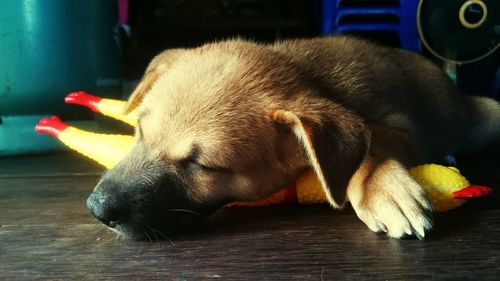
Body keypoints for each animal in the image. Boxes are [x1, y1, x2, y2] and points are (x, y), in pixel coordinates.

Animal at [87, 35, 500, 238]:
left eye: (201, 166)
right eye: (139, 131)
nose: (96, 208)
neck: (309, 75)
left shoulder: (403, 127)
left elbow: (371, 140)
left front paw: (381, 188)